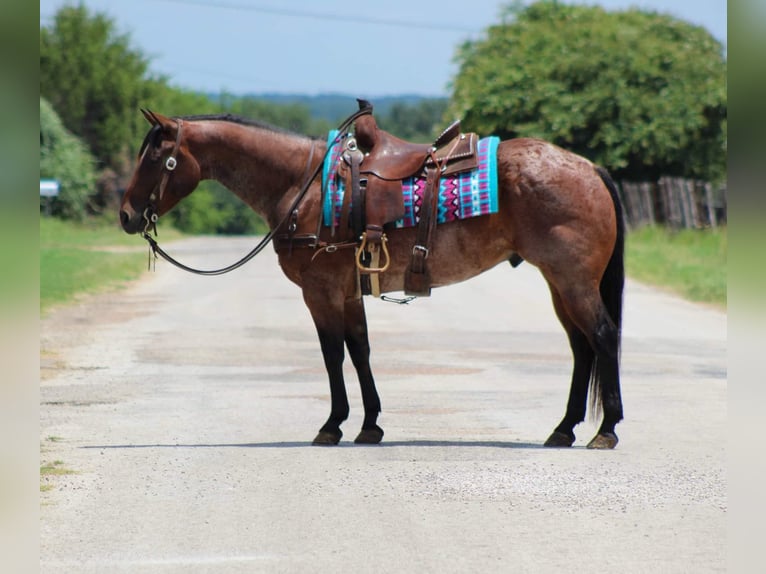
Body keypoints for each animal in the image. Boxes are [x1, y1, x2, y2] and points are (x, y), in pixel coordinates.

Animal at [119, 108, 625, 449]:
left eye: (154, 158)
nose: (125, 216)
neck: (304, 185)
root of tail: (589, 168)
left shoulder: (321, 293)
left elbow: (331, 355)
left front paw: (332, 425)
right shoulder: (348, 293)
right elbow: (359, 351)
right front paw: (370, 425)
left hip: (573, 281)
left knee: (602, 336)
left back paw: (606, 429)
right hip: (560, 284)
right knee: (582, 347)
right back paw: (563, 429)